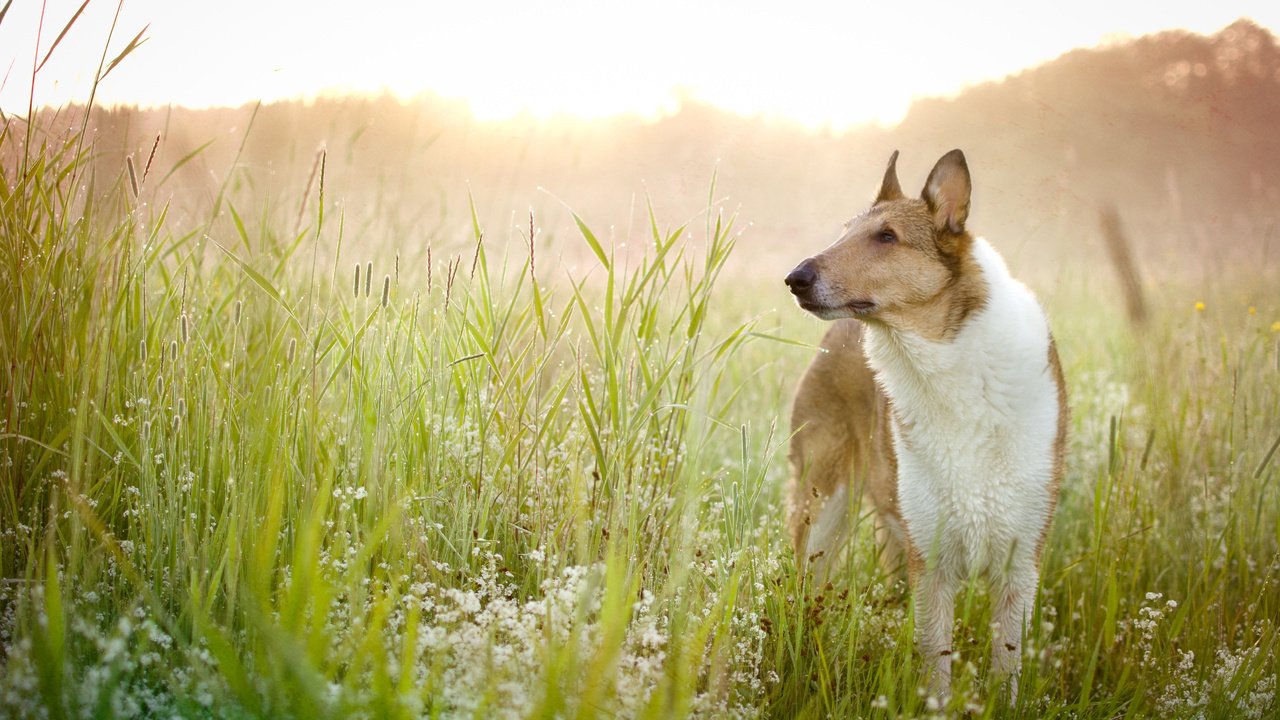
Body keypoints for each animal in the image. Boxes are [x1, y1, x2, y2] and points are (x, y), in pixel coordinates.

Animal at [778, 149, 1070, 696]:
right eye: (845, 231)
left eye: (887, 237)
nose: (795, 278)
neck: (949, 368)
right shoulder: (930, 563)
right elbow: (936, 665)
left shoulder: (1019, 563)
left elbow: (1006, 667)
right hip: (823, 506)